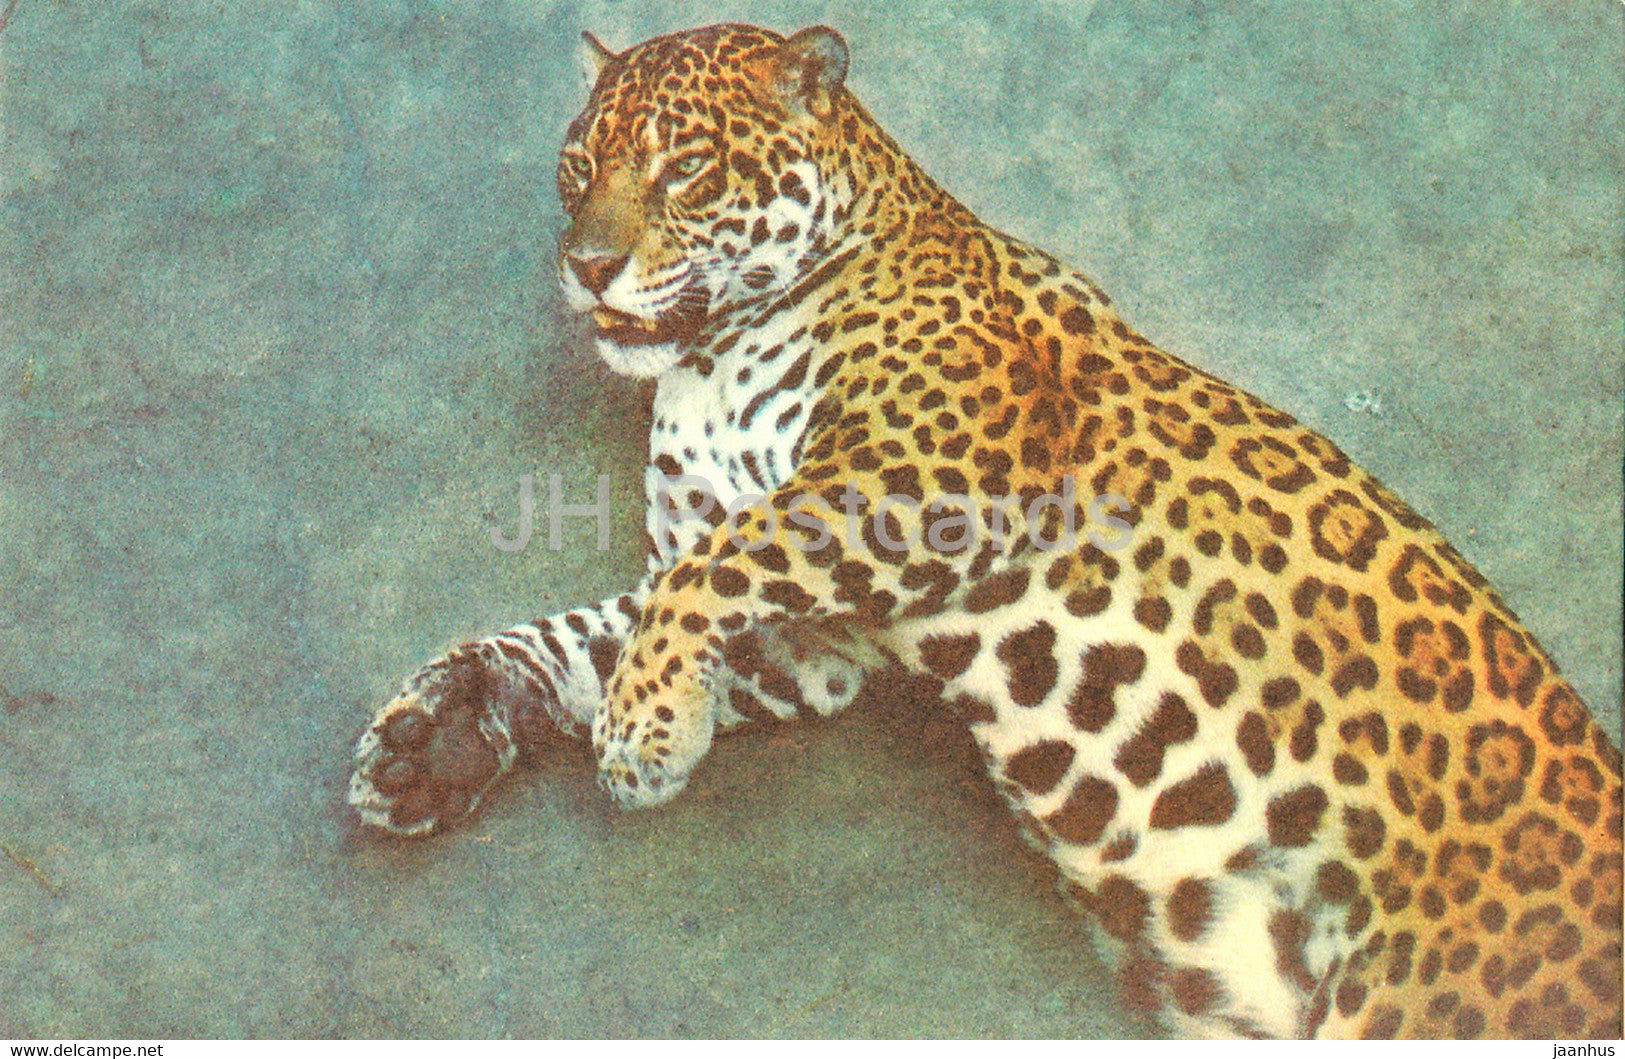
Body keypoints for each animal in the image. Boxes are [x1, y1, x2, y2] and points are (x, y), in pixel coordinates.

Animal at [347, 23, 1622, 1039]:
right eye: (577, 168)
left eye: (685, 167)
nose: (586, 265)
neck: (707, 357)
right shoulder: (820, 642)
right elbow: (601, 628)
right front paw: (440, 736)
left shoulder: (931, 475)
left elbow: (702, 573)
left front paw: (649, 737)